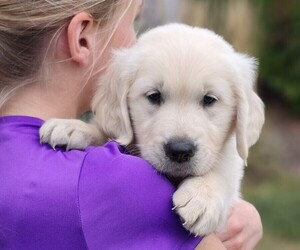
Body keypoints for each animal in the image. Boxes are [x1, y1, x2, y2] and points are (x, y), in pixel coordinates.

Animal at [39, 23, 264, 236]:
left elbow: (224, 170)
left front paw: (203, 197)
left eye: (209, 99)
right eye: (154, 96)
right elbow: (107, 131)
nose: (180, 151)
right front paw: (72, 127)